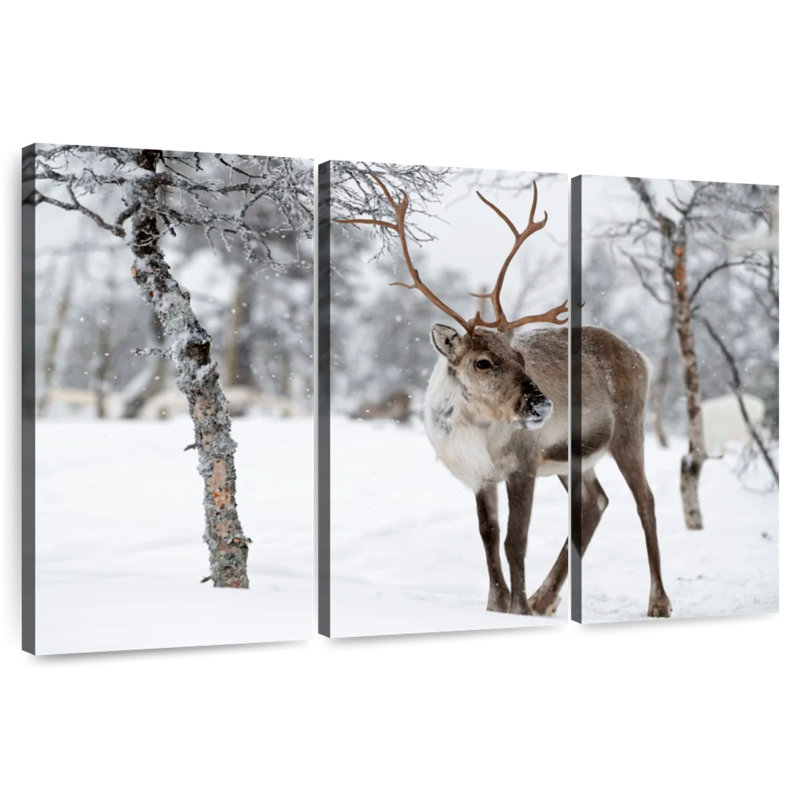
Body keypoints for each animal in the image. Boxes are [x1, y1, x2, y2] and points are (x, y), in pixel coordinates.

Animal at [334, 174, 672, 619]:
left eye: (519, 356)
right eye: (482, 362)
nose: (541, 404)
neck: (478, 431)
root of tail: (641, 356)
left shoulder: (523, 464)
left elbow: (517, 540)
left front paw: (519, 609)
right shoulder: (482, 475)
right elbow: (489, 535)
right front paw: (497, 605)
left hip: (629, 429)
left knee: (645, 500)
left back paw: (657, 602)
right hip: (574, 457)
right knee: (594, 503)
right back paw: (546, 598)